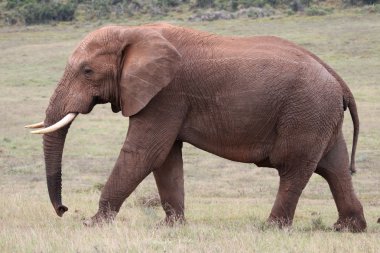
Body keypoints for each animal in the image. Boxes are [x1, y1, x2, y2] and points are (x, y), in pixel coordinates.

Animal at [25, 22, 366, 232]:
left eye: (87, 71)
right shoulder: (165, 98)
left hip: (306, 114)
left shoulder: (166, 93)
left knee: (295, 170)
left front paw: (93, 224)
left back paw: (270, 229)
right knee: (334, 168)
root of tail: (338, 80)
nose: (64, 209)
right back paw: (348, 228)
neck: (134, 32)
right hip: (320, 115)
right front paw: (171, 227)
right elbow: (165, 159)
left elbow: (145, 152)